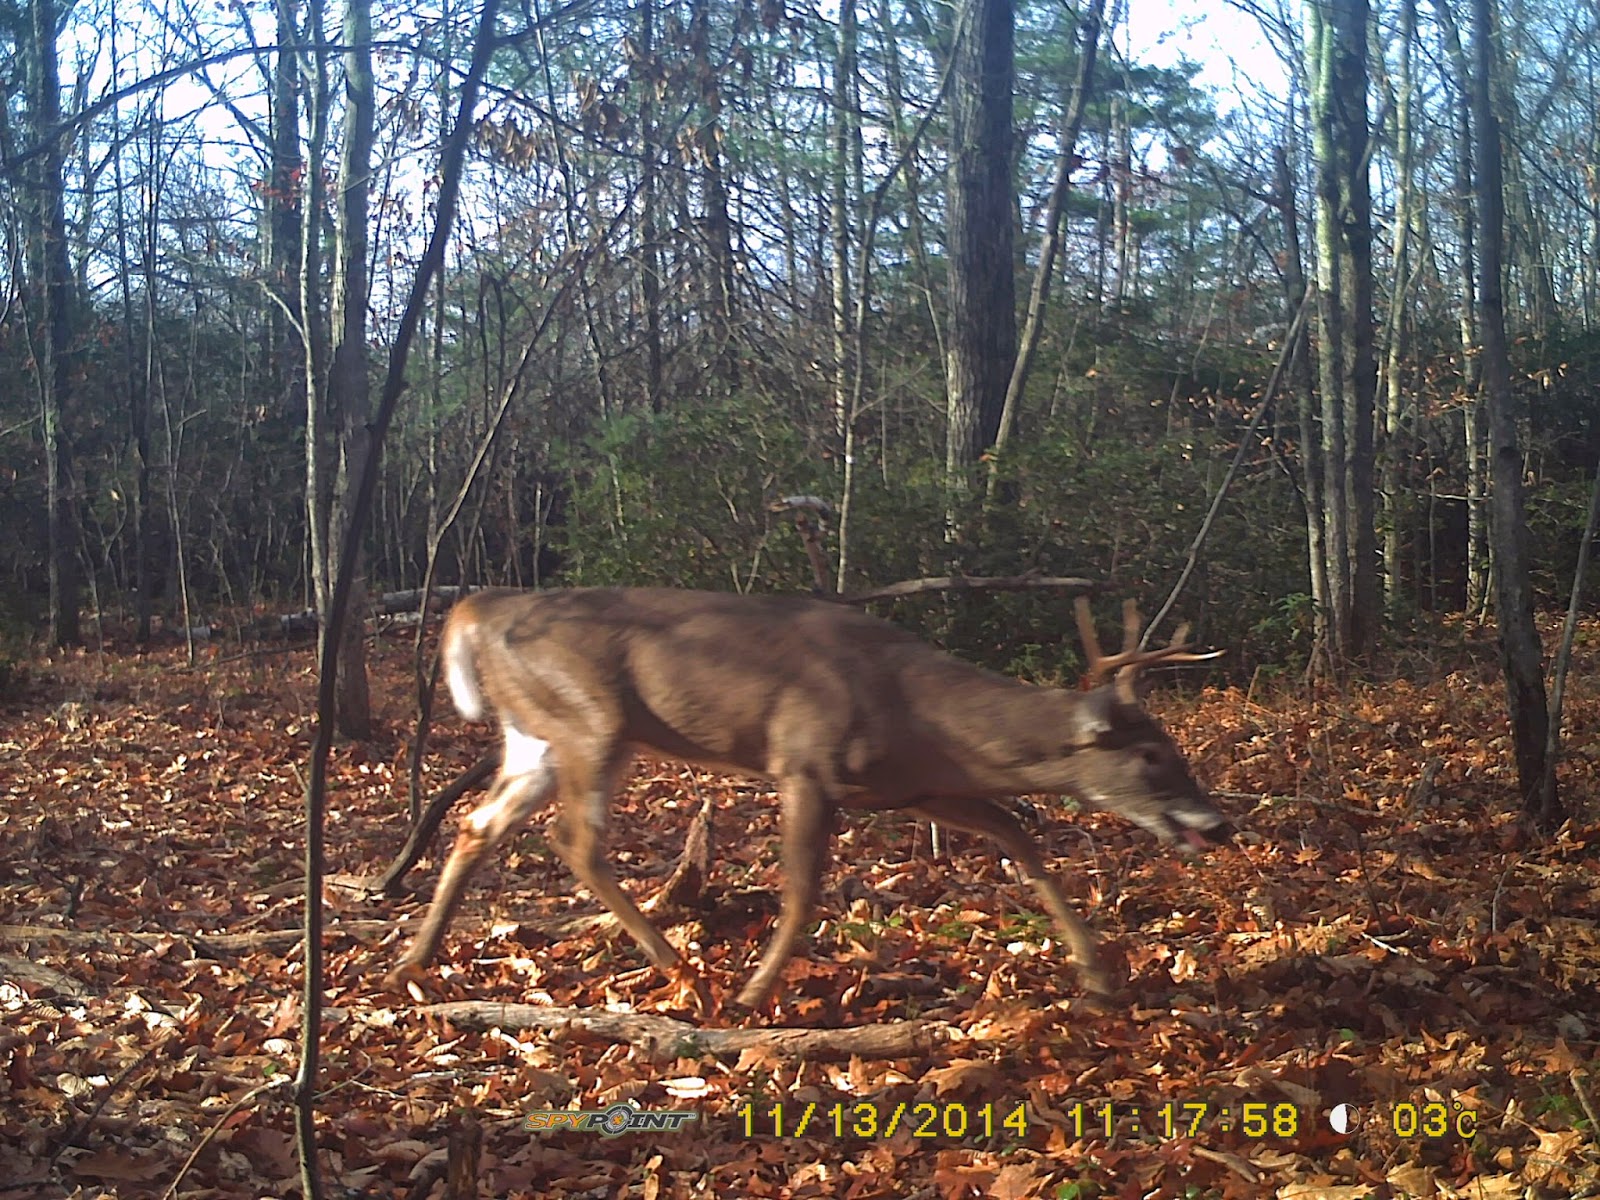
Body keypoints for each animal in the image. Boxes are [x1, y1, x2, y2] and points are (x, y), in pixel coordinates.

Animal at [384, 586, 1230, 1013]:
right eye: (1152, 755)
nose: (1219, 825)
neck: (920, 713)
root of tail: (471, 611)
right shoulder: (802, 762)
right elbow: (800, 890)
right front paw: (756, 992)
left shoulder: (914, 786)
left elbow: (1020, 837)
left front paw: (1099, 980)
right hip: (591, 720)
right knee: (576, 842)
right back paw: (684, 971)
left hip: (534, 734)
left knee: (477, 824)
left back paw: (416, 959)